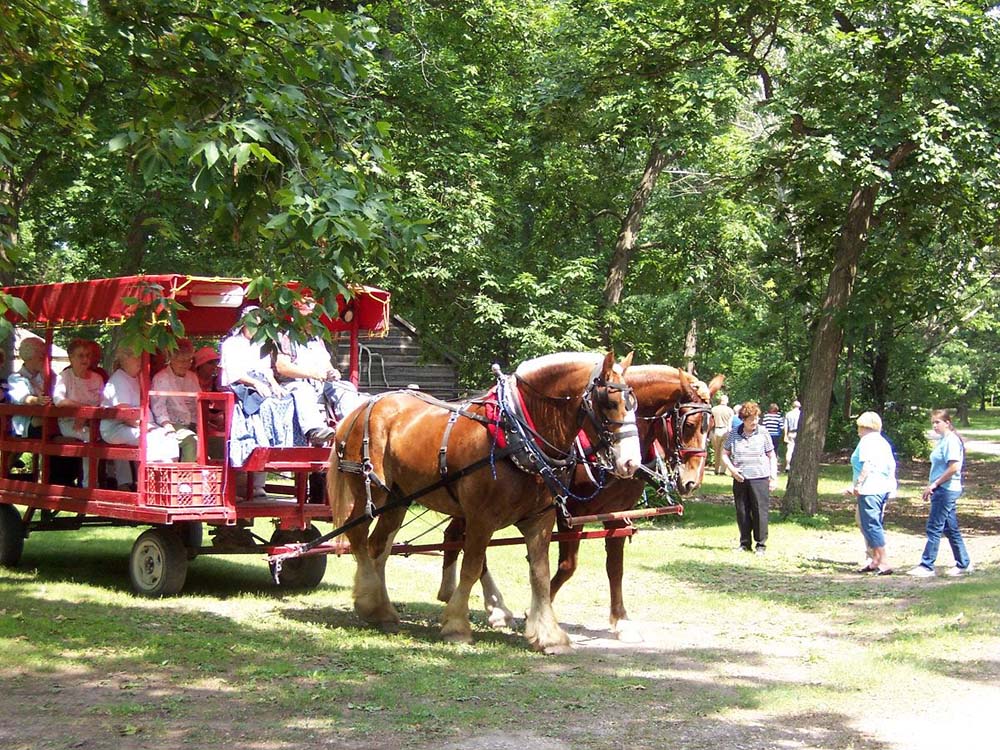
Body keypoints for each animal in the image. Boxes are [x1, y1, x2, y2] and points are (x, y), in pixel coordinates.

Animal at [326, 352, 640, 652]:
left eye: (633, 404)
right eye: (610, 402)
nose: (631, 462)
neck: (517, 434)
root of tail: (362, 408)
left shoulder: (540, 518)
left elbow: (539, 573)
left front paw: (549, 636)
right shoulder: (480, 517)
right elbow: (472, 565)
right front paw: (457, 627)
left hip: (398, 498)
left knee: (379, 545)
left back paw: (381, 609)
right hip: (370, 491)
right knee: (358, 535)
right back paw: (370, 602)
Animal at [442, 368, 724, 644]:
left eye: (711, 428)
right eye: (688, 425)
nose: (691, 482)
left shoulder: (617, 514)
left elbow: (615, 568)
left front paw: (621, 621)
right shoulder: (569, 514)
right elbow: (568, 566)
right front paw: (536, 615)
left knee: (455, 536)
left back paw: (455, 594)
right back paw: (495, 608)